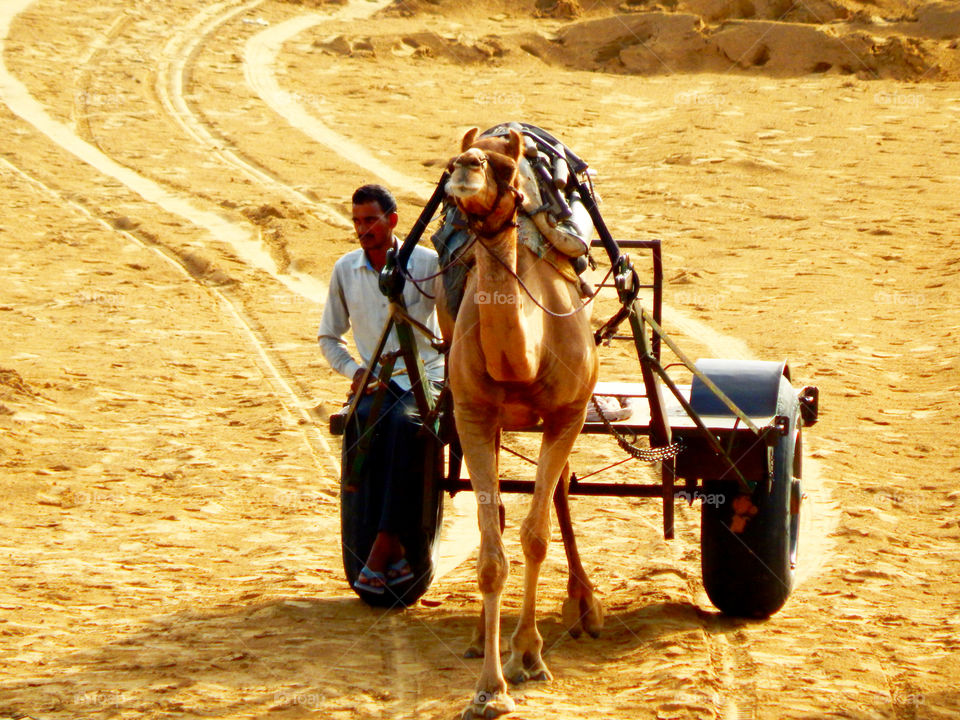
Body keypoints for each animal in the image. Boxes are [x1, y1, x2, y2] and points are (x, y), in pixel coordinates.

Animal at [444, 127, 603, 719]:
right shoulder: (471, 414)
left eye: (507, 169)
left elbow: (536, 537)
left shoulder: (567, 413)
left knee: (556, 494)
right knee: (503, 516)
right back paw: (477, 636)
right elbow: (493, 550)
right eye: (450, 163)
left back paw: (582, 605)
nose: (465, 168)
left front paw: (529, 656)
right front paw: (490, 689)